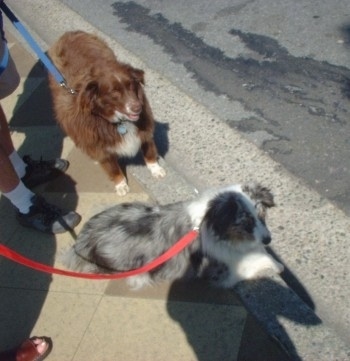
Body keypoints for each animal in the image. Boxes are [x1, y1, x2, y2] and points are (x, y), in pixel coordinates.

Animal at [47, 30, 165, 194]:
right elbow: (112, 167)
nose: (137, 107)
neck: (120, 122)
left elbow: (149, 150)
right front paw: (121, 184)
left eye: (130, 85)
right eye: (114, 93)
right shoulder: (98, 142)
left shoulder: (144, 127)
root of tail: (69, 33)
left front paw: (156, 169)